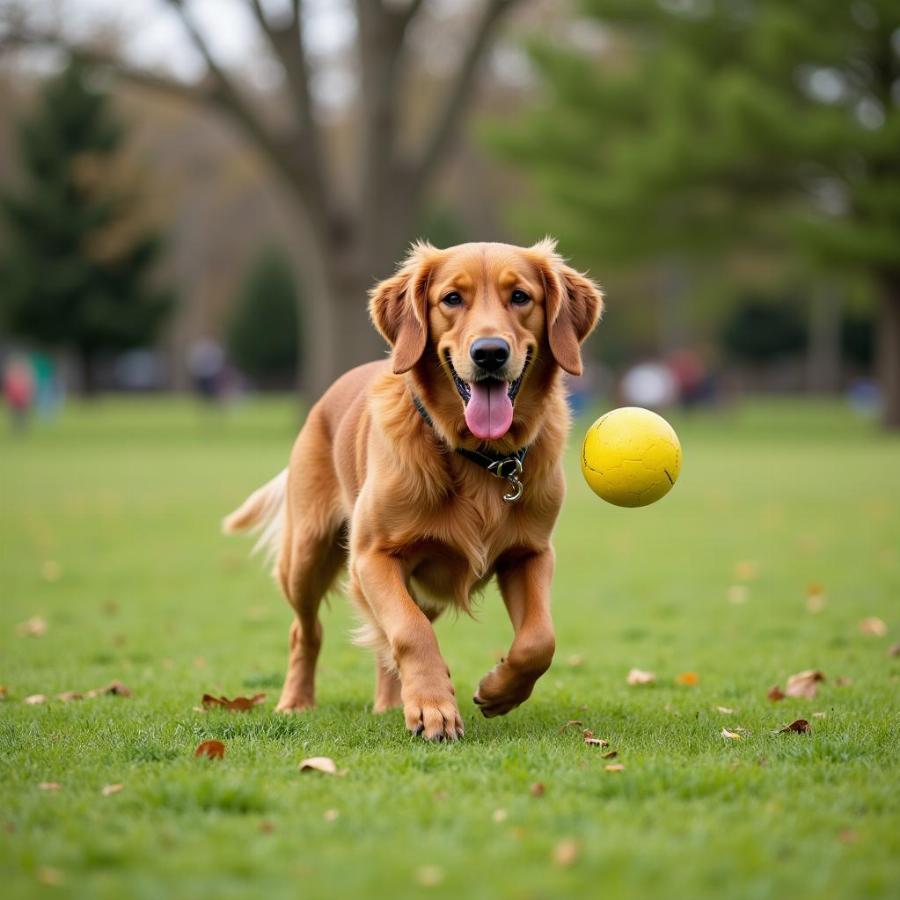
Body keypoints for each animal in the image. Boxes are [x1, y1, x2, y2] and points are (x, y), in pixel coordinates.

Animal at [225, 237, 604, 740]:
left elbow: (540, 640)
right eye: (452, 298)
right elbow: (409, 631)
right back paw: (296, 702)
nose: (489, 353)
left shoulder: (531, 554)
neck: (479, 455)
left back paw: (391, 702)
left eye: (521, 297)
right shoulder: (372, 556)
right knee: (306, 631)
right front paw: (432, 706)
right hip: (306, 556)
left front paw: (498, 690)